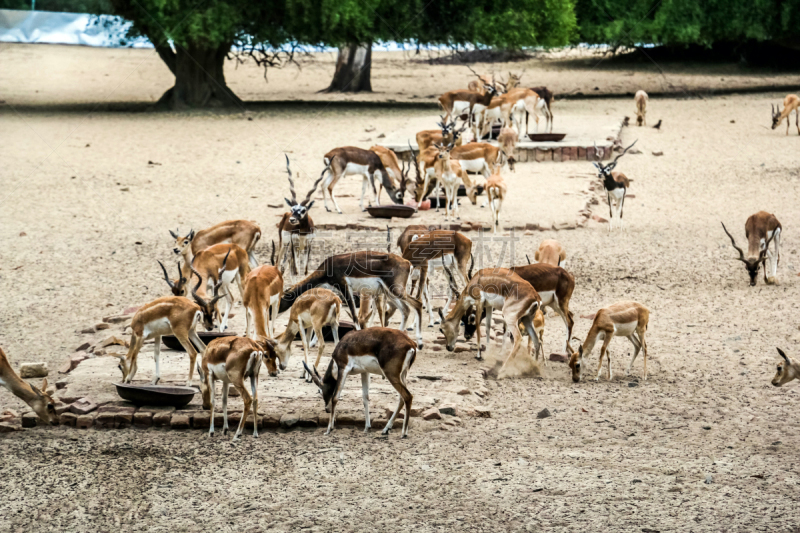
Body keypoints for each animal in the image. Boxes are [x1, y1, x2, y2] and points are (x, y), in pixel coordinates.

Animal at [278, 250, 424, 350]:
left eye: (279, 302)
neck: (327, 268)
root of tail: (407, 263)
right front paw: (313, 343)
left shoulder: (344, 287)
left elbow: (354, 316)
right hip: (390, 293)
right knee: (406, 309)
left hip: (395, 291)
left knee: (417, 304)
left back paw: (420, 343)